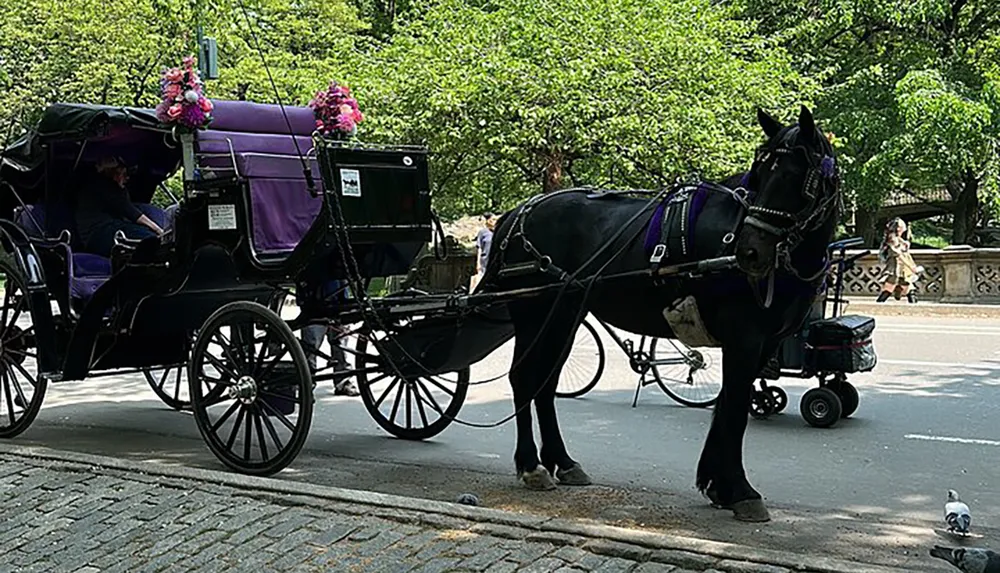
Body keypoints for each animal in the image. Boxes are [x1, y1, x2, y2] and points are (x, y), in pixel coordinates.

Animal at [480, 105, 840, 520]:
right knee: (524, 379)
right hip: (535, 315)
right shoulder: (744, 338)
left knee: (545, 383)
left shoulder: (763, 343)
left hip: (564, 316)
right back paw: (529, 465)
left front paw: (717, 484)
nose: (749, 251)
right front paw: (739, 489)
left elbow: (727, 405)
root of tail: (520, 212)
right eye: (761, 172)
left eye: (796, 176)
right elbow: (734, 408)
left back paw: (562, 461)